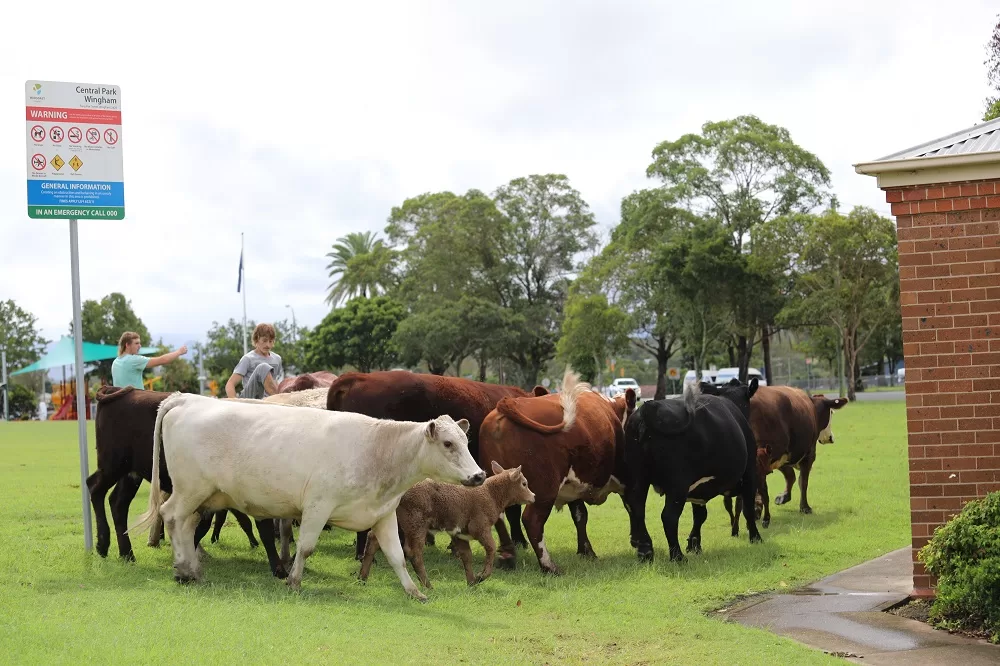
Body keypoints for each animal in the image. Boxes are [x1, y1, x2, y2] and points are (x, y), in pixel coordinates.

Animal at [127, 386, 486, 600]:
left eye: (466, 442)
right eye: (448, 444)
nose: (479, 475)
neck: (377, 450)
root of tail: (187, 398)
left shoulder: (383, 514)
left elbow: (397, 556)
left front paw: (414, 592)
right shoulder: (318, 506)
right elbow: (306, 546)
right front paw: (294, 580)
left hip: (207, 496)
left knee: (188, 526)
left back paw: (191, 567)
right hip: (190, 489)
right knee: (172, 518)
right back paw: (183, 569)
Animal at [476, 368, 632, 572]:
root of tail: (507, 403)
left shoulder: (575, 484)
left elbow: (580, 516)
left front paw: (586, 551)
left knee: (500, 516)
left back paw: (508, 557)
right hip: (544, 488)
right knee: (532, 520)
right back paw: (548, 566)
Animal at [620, 376, 760, 556]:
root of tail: (648, 407)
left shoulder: (698, 488)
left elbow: (700, 515)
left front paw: (694, 544)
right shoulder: (750, 473)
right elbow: (748, 509)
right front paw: (756, 537)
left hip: (638, 477)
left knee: (636, 508)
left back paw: (645, 552)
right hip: (677, 482)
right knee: (669, 516)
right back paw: (677, 556)